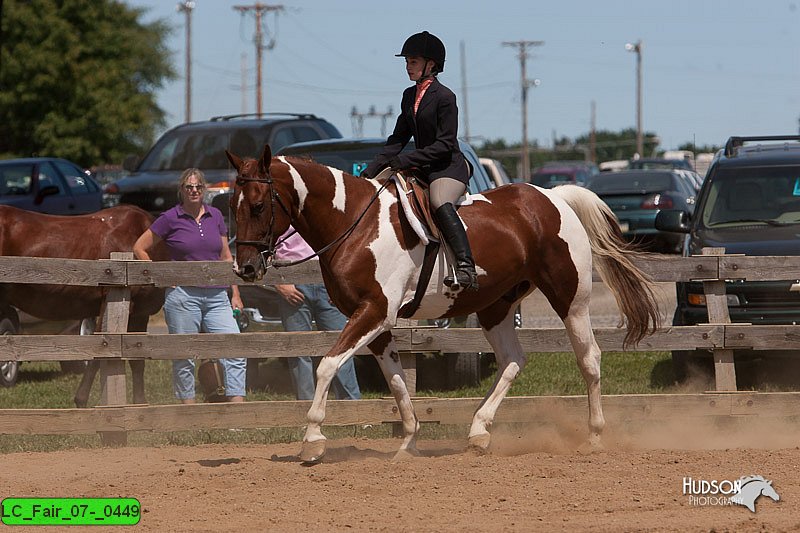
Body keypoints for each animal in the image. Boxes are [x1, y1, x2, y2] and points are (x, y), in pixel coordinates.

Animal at [225, 144, 656, 462]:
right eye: (232, 206)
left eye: (259, 205)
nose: (245, 268)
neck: (354, 224)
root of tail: (553, 198)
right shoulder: (376, 323)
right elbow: (397, 382)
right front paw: (408, 443)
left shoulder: (374, 312)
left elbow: (328, 365)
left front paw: (312, 439)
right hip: (495, 306)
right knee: (513, 360)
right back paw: (479, 431)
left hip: (571, 301)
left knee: (589, 359)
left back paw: (594, 436)